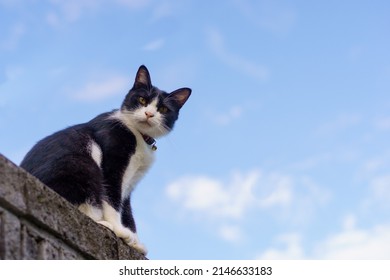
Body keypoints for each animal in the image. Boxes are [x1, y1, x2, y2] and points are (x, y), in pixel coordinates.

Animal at [20, 65, 191, 254]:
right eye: (142, 99)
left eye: (163, 109)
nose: (148, 113)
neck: (138, 136)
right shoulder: (112, 161)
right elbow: (112, 199)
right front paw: (119, 229)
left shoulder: (130, 183)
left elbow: (127, 210)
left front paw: (135, 241)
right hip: (82, 165)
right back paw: (104, 224)